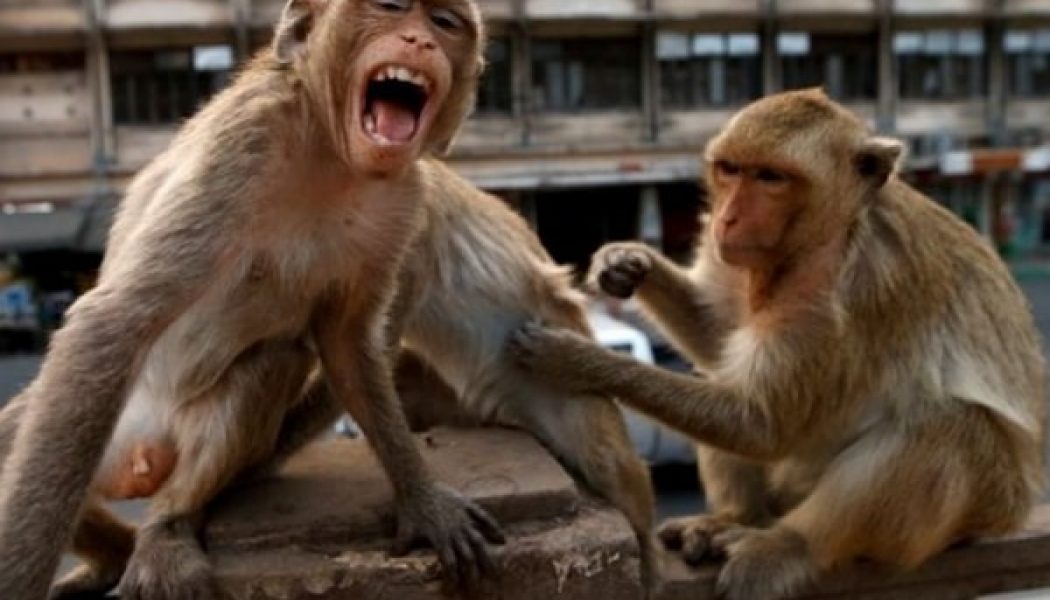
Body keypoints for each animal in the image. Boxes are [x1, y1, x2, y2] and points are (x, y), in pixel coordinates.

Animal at [0, 0, 506, 598]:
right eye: (390, 8)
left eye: (444, 24)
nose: (419, 42)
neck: (331, 151)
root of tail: (140, 461)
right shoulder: (245, 142)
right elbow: (113, 322)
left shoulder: (405, 198)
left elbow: (347, 343)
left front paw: (423, 501)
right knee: (23, 431)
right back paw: (115, 554)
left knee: (271, 364)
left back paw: (162, 529)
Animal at [509, 88, 1046, 600]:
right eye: (730, 170)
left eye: (771, 177)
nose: (727, 219)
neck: (824, 236)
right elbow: (721, 341)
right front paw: (627, 263)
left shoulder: (848, 293)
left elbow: (763, 423)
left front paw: (576, 361)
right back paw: (734, 518)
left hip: (981, 508)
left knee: (947, 425)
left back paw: (789, 546)